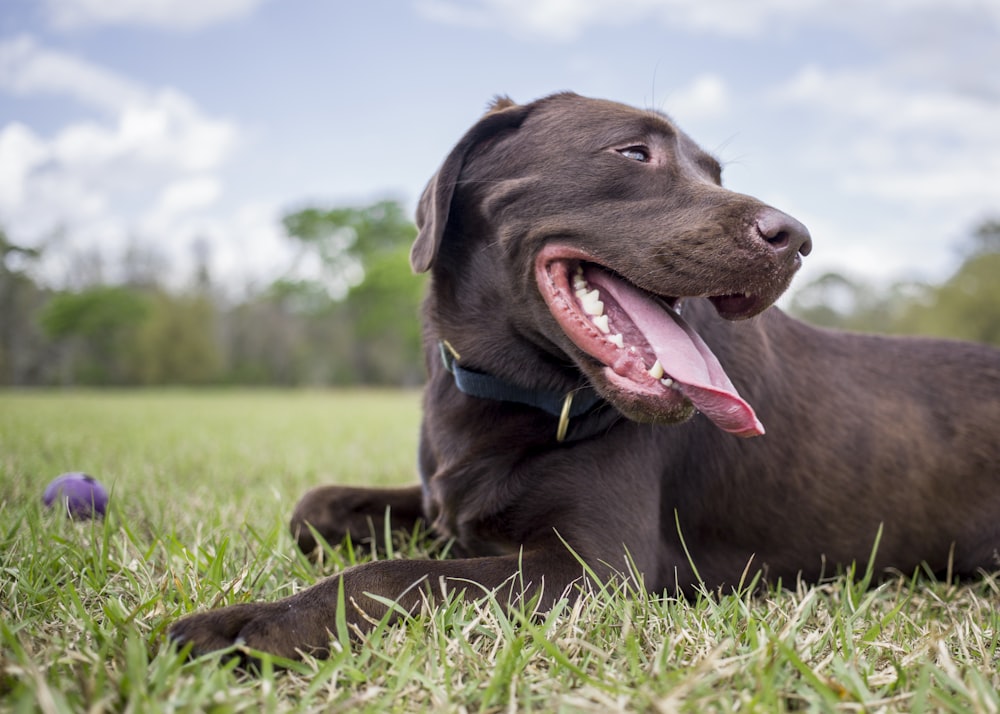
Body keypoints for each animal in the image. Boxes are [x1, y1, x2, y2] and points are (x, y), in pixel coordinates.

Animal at [172, 92, 1000, 660]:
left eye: (714, 173)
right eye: (632, 154)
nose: (795, 238)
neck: (512, 390)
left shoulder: (592, 570)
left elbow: (391, 577)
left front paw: (246, 626)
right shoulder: (448, 503)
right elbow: (315, 506)